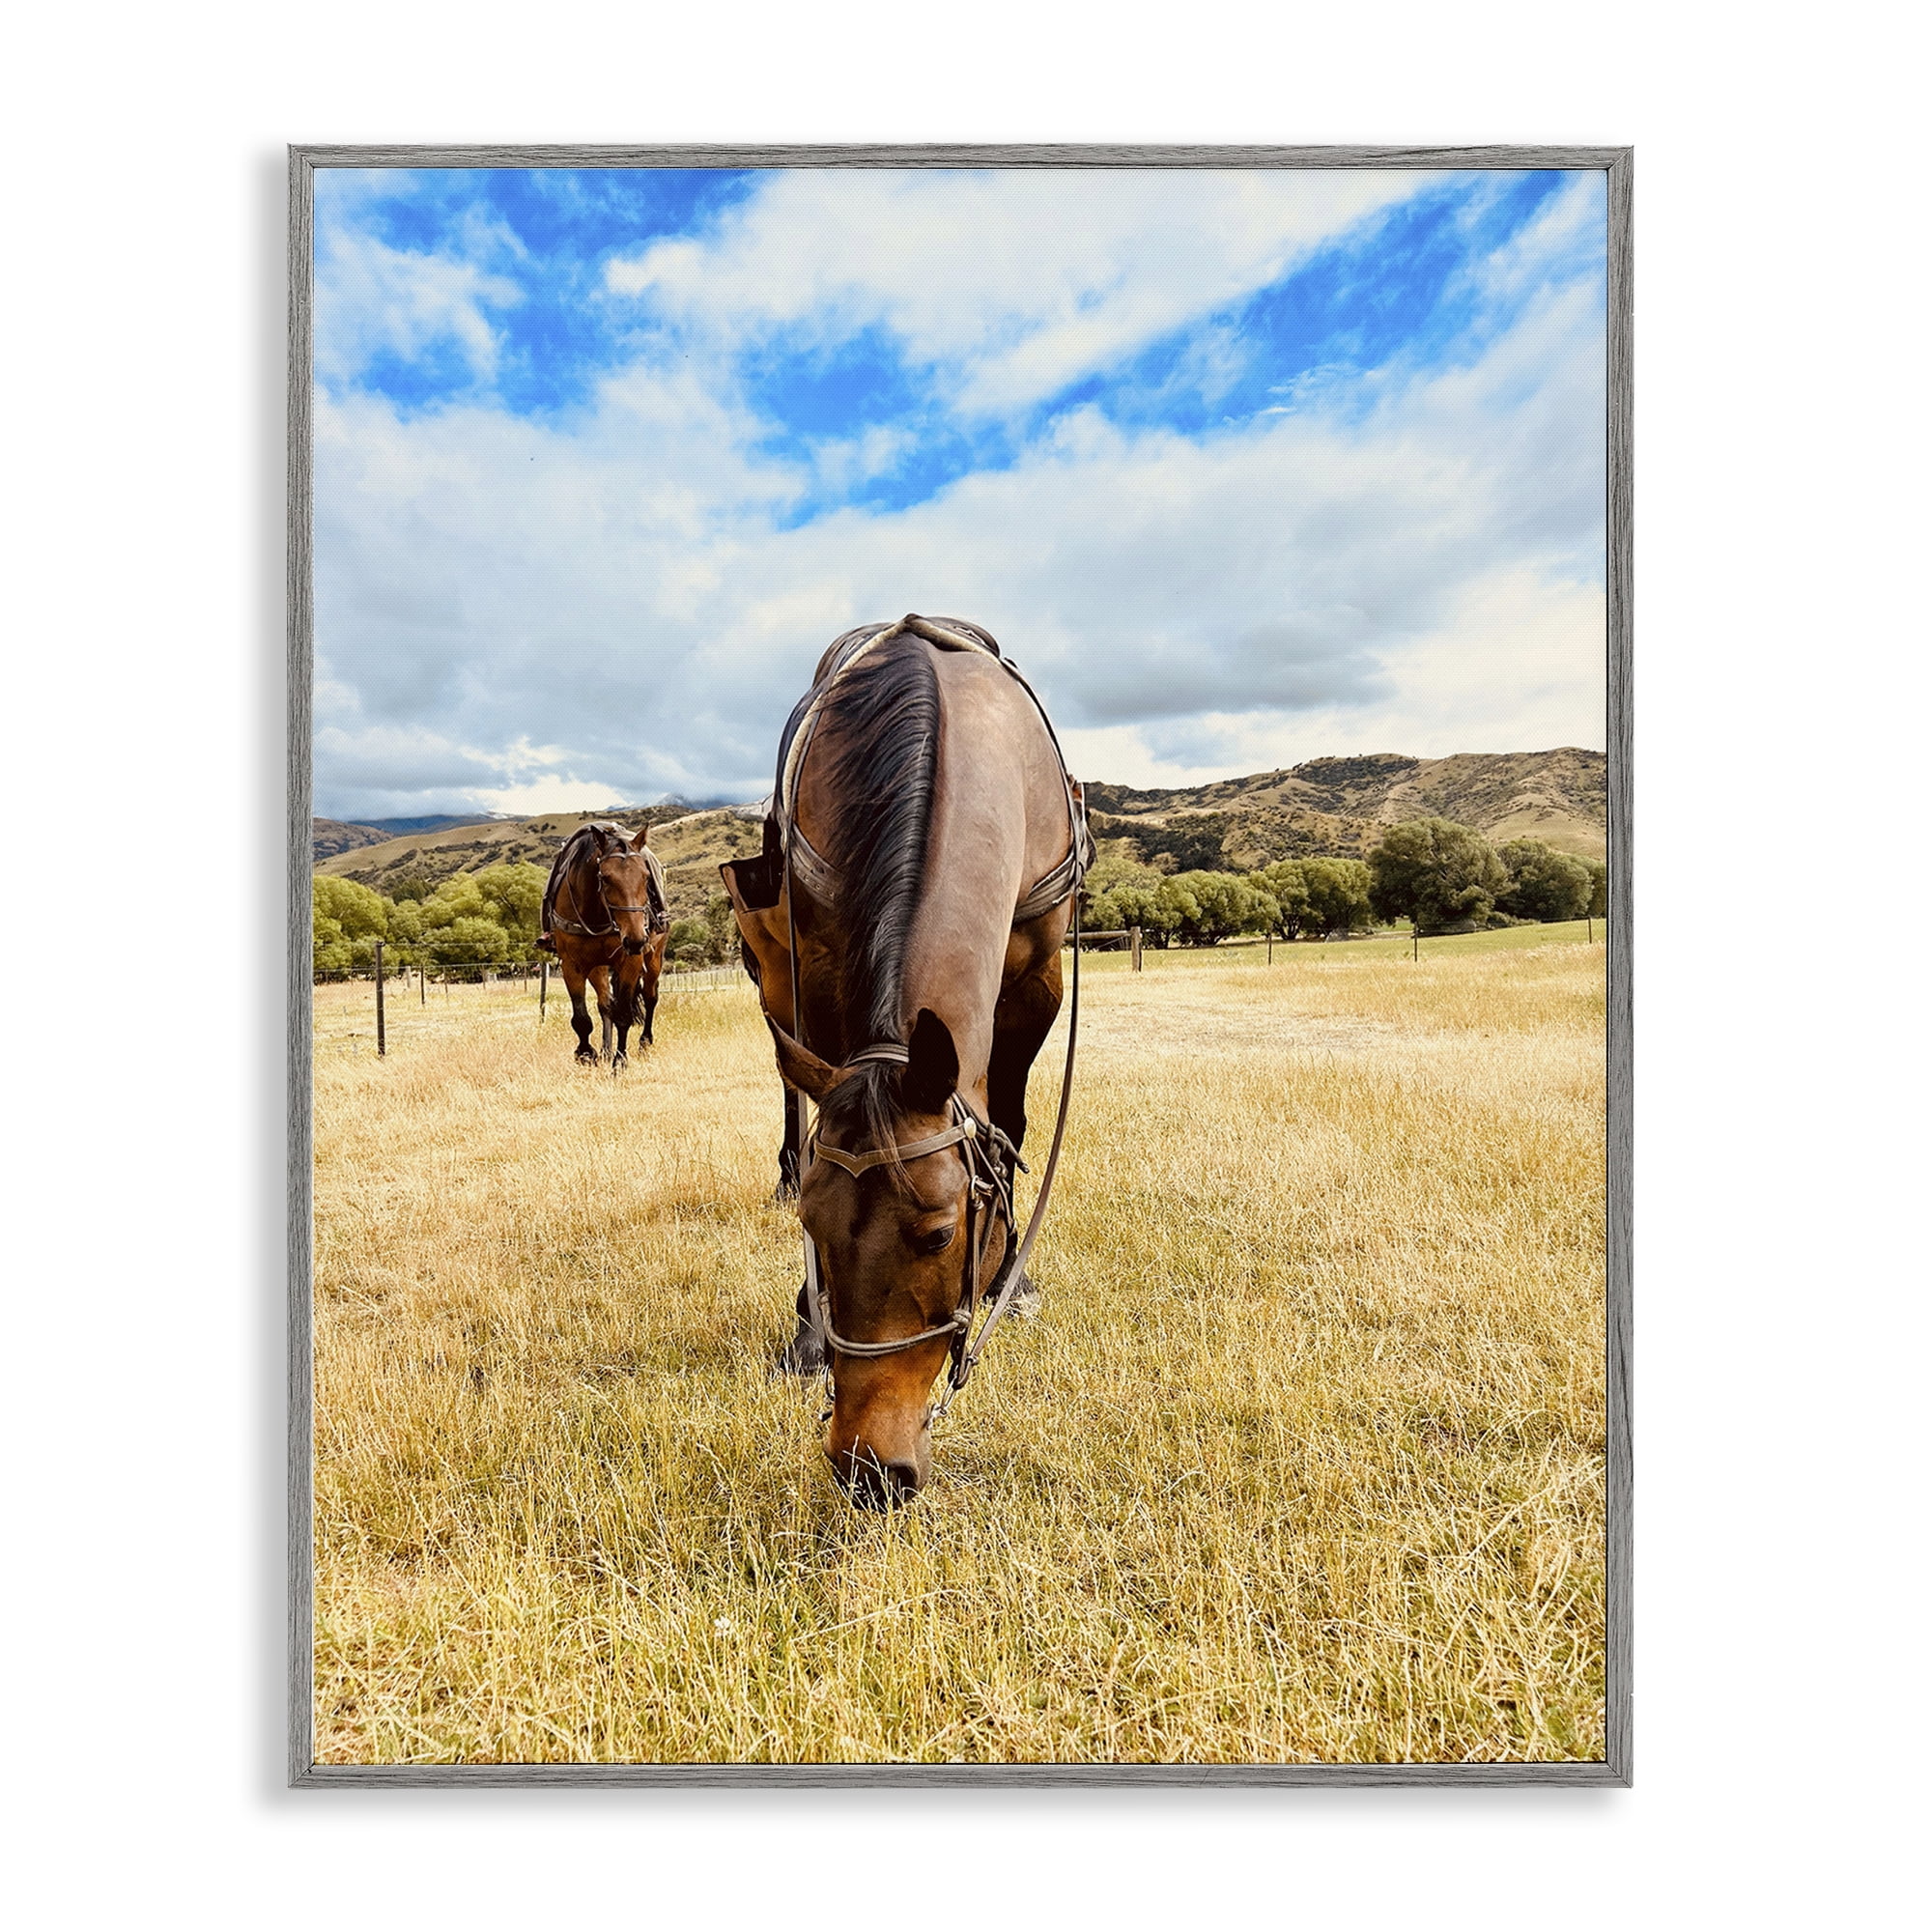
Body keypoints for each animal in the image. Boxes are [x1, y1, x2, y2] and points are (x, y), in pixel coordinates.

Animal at [540, 821, 670, 1071]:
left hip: (654, 958)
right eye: (606, 877)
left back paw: (644, 1043)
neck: (597, 913)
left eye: (646, 877)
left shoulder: (631, 961)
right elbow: (582, 1018)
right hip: (598, 966)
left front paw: (620, 1062)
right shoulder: (572, 965)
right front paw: (586, 1054)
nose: (636, 939)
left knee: (650, 997)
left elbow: (624, 1014)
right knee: (605, 1004)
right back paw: (606, 1049)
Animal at [720, 615, 1090, 1506]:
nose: (868, 1470)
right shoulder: (820, 969)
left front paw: (1013, 1279)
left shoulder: (1036, 977)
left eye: (942, 1233)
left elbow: (1010, 1120)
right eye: (812, 1224)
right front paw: (807, 1327)